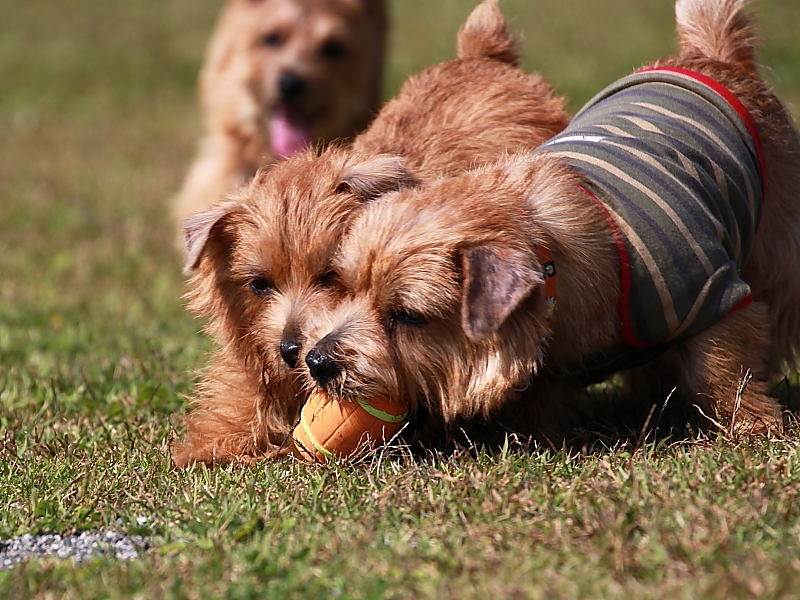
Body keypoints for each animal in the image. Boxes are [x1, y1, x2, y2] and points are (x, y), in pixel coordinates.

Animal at [298, 0, 800, 448]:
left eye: (405, 316)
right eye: (343, 286)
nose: (316, 361)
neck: (552, 260)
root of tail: (710, 56)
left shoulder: (711, 292)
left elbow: (723, 367)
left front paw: (752, 425)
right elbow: (542, 401)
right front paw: (538, 438)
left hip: (774, 247)